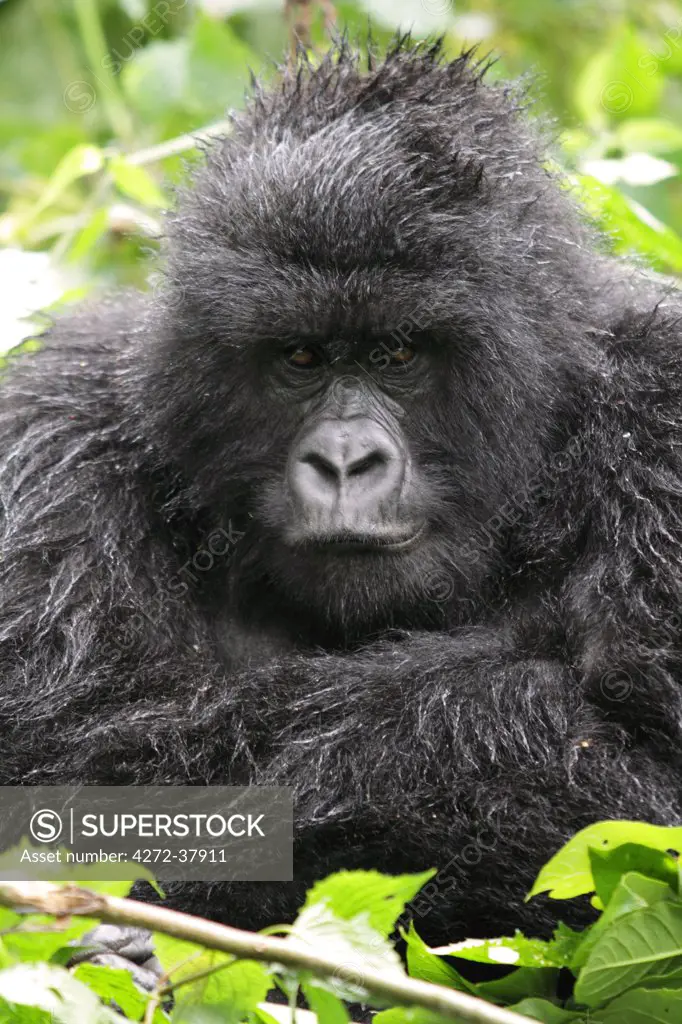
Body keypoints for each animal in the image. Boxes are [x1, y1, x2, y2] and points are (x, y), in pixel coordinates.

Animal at [1, 37, 679, 950]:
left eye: (398, 354)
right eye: (300, 358)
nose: (346, 461)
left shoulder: (663, 413)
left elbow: (644, 784)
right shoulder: (55, 435)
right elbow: (87, 759)